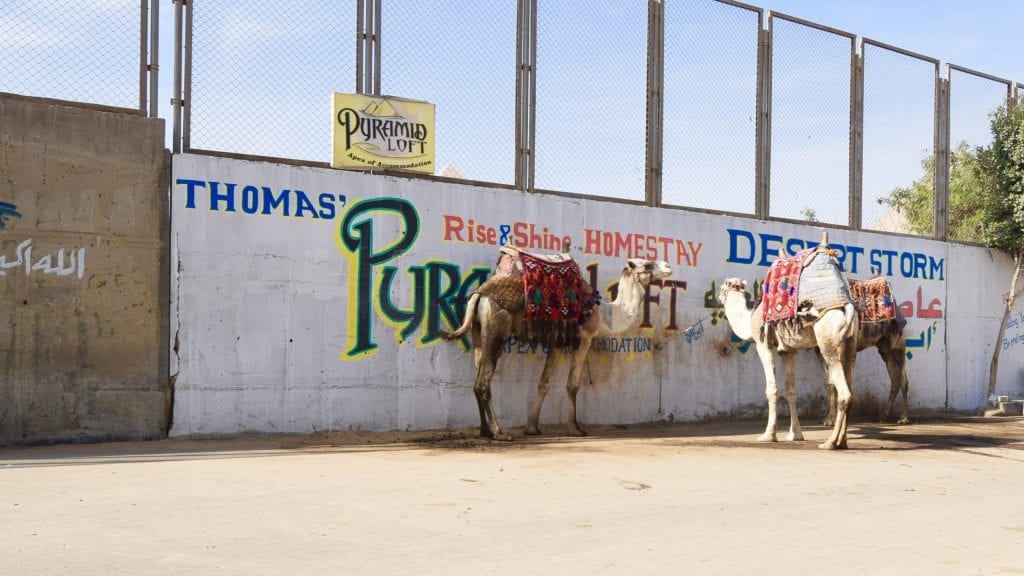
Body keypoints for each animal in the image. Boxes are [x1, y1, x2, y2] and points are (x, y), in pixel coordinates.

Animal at [440, 245, 671, 438]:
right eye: (647, 264)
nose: (668, 266)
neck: (604, 314)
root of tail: (478, 296)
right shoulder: (584, 338)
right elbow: (572, 385)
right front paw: (575, 429)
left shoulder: (557, 343)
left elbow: (544, 382)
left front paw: (531, 428)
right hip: (497, 328)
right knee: (483, 382)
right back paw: (499, 433)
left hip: (478, 331)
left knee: (477, 376)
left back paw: (485, 431)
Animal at [716, 234, 860, 448]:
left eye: (723, 287)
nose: (718, 297)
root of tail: (848, 308)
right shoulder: (788, 350)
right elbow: (791, 390)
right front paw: (795, 434)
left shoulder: (763, 343)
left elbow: (772, 389)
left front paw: (768, 435)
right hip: (850, 344)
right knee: (851, 388)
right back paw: (842, 441)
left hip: (828, 342)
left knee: (845, 392)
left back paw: (830, 442)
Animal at [815, 278, 913, 426]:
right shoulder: (819, 349)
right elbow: (830, 383)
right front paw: (829, 419)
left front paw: (834, 419)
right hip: (884, 348)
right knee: (894, 380)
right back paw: (882, 416)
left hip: (897, 344)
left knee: (903, 379)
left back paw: (903, 418)